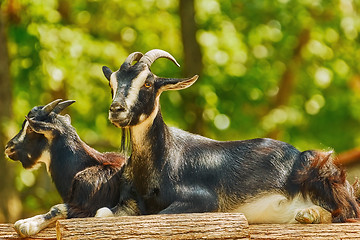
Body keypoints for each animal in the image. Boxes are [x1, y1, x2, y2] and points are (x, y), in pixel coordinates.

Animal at [97, 49, 360, 225]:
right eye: (112, 85)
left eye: (148, 84)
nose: (116, 109)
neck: (161, 160)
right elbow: (102, 213)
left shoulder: (204, 201)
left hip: (316, 165)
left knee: (349, 211)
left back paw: (309, 214)